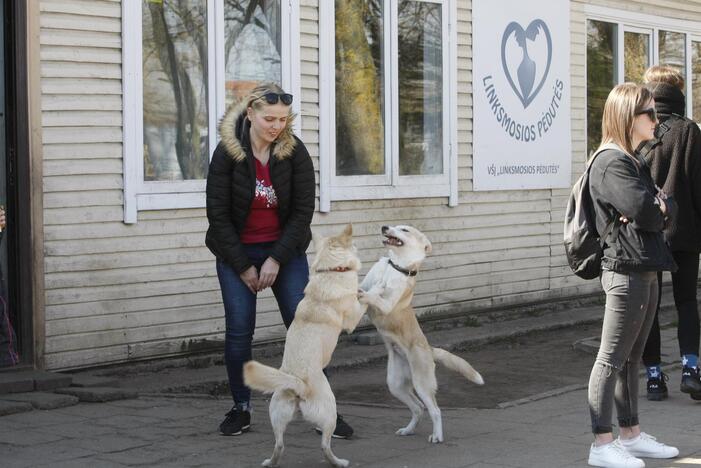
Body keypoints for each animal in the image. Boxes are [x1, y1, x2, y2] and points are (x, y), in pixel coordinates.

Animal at [243, 225, 366, 466]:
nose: (359, 249)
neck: (330, 272)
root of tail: (298, 385)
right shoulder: (352, 319)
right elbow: (367, 298)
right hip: (329, 411)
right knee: (325, 445)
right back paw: (339, 462)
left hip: (277, 414)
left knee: (279, 445)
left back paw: (270, 462)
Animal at [358, 225, 484, 444]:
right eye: (393, 226)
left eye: (404, 229)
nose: (384, 227)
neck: (395, 266)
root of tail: (429, 350)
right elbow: (363, 287)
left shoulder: (387, 304)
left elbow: (374, 295)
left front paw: (370, 293)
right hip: (396, 385)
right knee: (418, 408)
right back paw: (408, 430)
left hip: (422, 383)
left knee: (434, 410)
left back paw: (437, 436)